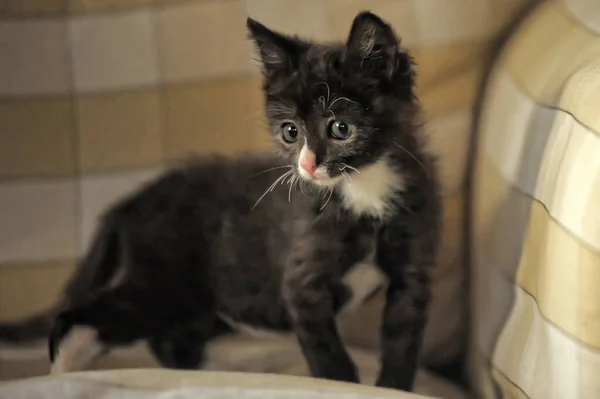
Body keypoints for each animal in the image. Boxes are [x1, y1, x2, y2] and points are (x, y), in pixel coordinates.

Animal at [0, 10, 440, 392]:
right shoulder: (302, 281)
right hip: (168, 279)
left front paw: (395, 387)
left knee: (170, 339)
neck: (364, 188)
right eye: (290, 132)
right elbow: (326, 351)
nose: (308, 165)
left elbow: (403, 340)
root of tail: (135, 199)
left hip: (213, 294)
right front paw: (343, 383)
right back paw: (65, 373)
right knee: (79, 318)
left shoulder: (412, 271)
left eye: (341, 128)